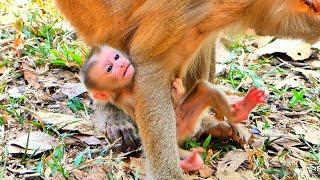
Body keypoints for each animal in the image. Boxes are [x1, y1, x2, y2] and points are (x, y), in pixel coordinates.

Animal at [81, 45, 266, 172]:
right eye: (109, 68)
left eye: (116, 56)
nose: (121, 64)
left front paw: (176, 87)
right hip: (179, 129)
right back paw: (190, 161)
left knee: (204, 89)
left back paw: (239, 112)